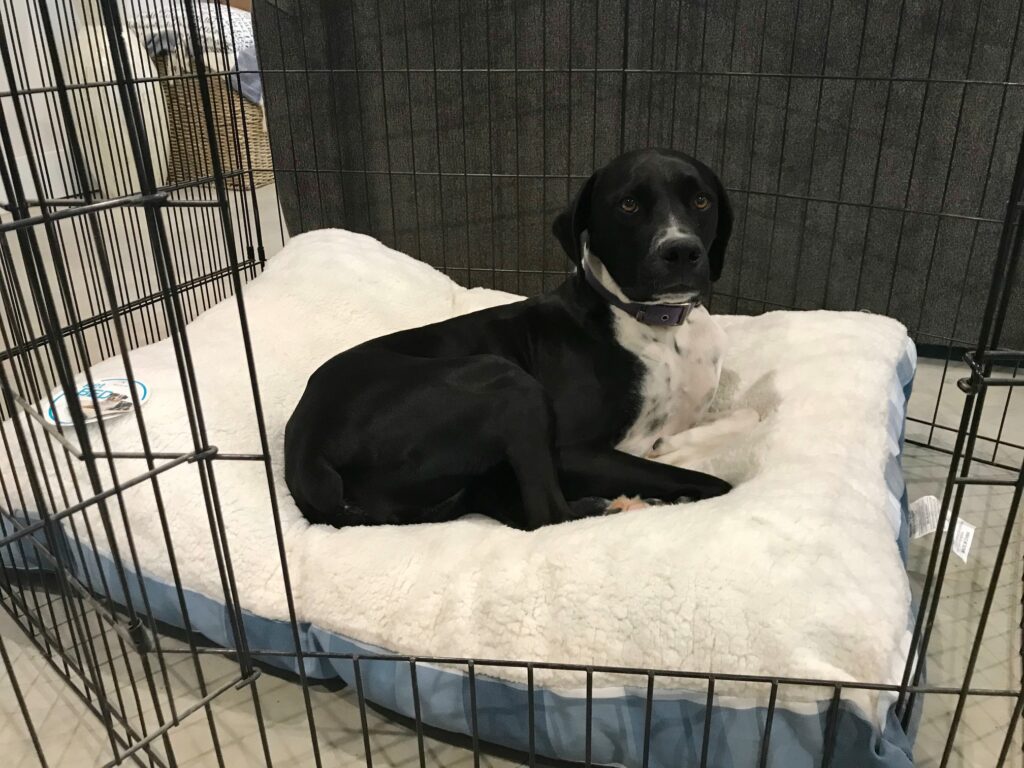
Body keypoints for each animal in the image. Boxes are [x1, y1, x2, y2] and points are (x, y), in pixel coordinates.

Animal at [286, 145, 737, 528]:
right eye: (629, 204)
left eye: (701, 201)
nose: (681, 251)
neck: (658, 323)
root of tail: (306, 450)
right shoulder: (572, 451)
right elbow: (714, 481)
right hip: (507, 382)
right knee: (548, 515)